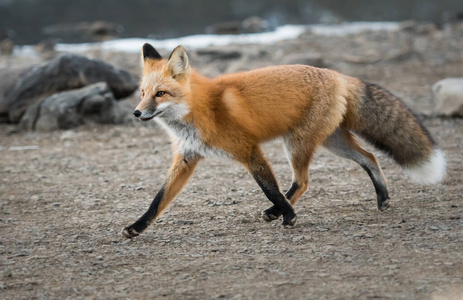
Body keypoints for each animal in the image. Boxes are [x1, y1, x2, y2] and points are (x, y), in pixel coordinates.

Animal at [121, 43, 448, 238]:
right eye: (142, 93)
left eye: (160, 94)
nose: (136, 113)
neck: (201, 110)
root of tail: (338, 75)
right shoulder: (186, 158)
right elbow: (158, 200)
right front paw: (137, 227)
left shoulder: (248, 150)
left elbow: (270, 188)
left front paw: (289, 216)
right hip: (331, 141)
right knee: (370, 157)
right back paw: (382, 197)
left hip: (298, 143)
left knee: (302, 182)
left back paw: (281, 211)